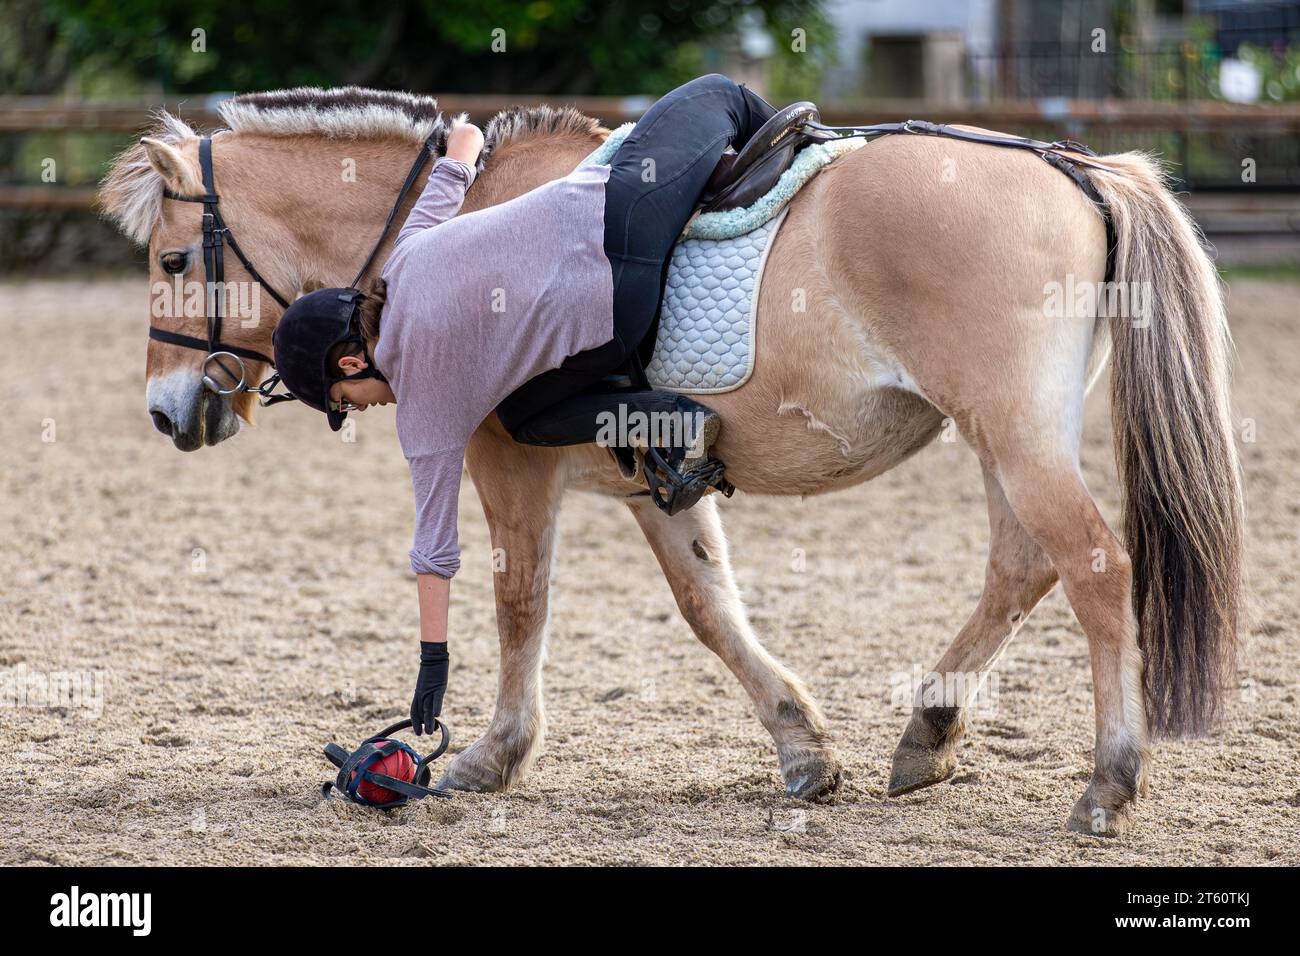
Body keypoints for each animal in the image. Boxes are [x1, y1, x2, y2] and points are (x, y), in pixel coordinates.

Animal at [100, 87, 1243, 836]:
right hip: (1005, 436)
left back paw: (1108, 780)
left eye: (172, 259)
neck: (447, 228)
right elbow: (710, 607)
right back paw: (929, 731)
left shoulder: (501, 458)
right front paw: (801, 747)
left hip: (1010, 431)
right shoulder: (659, 472)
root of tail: (1075, 169)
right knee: (1023, 565)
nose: (164, 411)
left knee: (1093, 567)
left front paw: (489, 754)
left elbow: (518, 601)